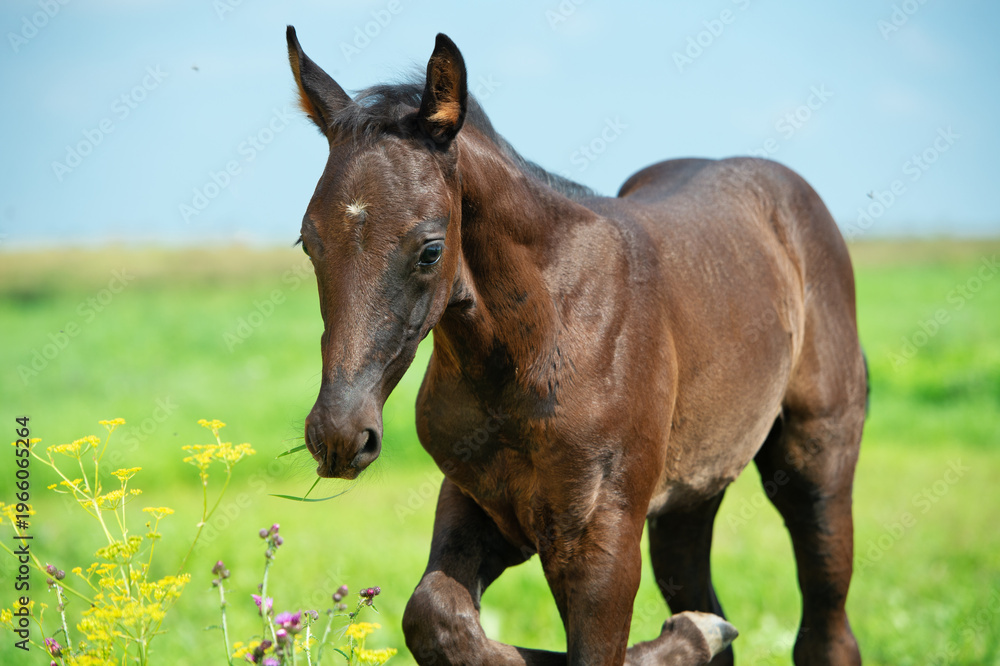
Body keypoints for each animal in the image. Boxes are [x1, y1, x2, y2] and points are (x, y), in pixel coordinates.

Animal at [285, 26, 866, 666]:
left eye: (430, 249)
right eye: (308, 242)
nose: (339, 436)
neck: (537, 341)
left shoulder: (599, 539)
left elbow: (591, 649)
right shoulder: (481, 503)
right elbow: (436, 618)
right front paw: (686, 636)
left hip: (815, 463)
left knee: (826, 625)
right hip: (688, 497)